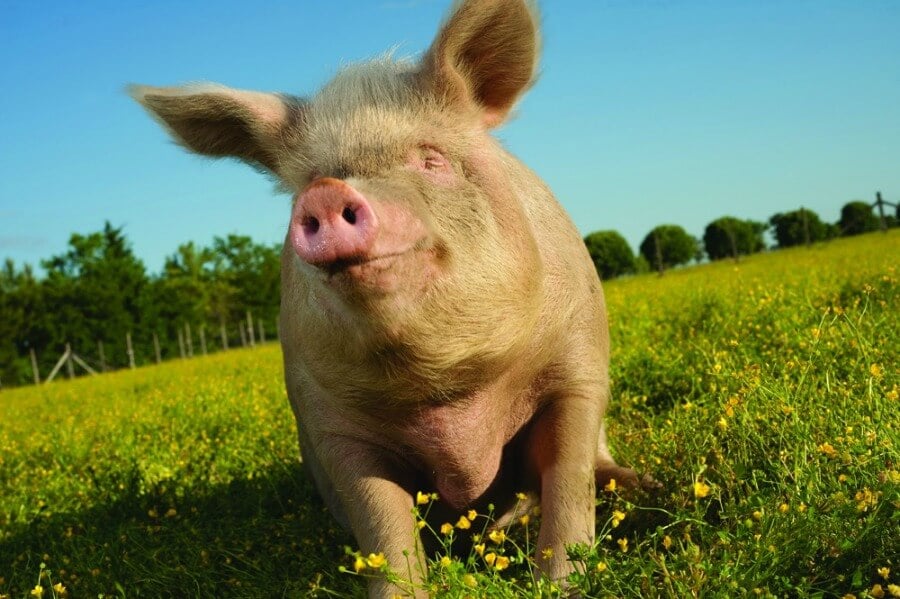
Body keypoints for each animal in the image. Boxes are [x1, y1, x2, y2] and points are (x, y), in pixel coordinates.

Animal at [130, 0, 644, 596]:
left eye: (430, 160)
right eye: (308, 179)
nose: (325, 193)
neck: (445, 390)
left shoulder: (579, 362)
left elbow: (568, 477)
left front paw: (560, 583)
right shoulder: (327, 418)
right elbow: (382, 523)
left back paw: (644, 486)